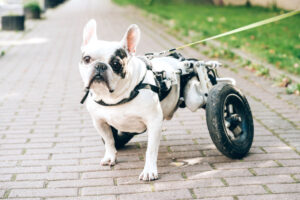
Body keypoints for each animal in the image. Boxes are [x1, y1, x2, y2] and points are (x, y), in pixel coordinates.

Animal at [79, 19, 199, 180]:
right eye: (86, 59)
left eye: (116, 63)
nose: (100, 65)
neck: (114, 97)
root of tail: (179, 60)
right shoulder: (99, 122)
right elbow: (109, 140)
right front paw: (110, 156)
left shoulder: (153, 121)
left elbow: (151, 149)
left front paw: (149, 170)